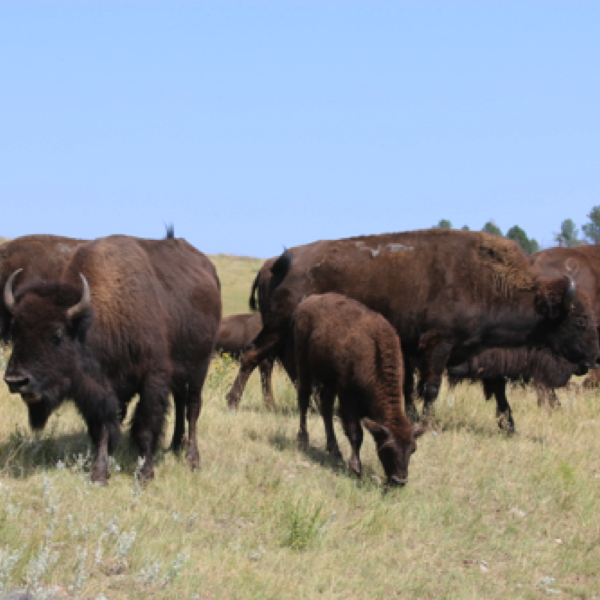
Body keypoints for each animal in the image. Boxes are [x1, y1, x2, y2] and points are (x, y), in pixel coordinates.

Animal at [2, 233, 223, 482]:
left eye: (57, 334)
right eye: (15, 330)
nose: (16, 380)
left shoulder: (153, 379)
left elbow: (145, 428)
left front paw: (145, 474)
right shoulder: (97, 390)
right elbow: (102, 429)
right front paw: (99, 474)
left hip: (199, 367)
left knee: (192, 408)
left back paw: (192, 459)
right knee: (180, 403)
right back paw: (175, 447)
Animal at [226, 229, 600, 426]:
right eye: (580, 320)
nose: (593, 358)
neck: (486, 280)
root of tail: (281, 260)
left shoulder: (411, 346)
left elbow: (410, 386)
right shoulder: (438, 344)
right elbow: (430, 387)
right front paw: (428, 423)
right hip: (277, 328)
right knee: (253, 356)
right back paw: (232, 403)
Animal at [292, 292, 424, 486]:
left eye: (413, 449)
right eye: (388, 447)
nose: (399, 481)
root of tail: (307, 300)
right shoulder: (348, 399)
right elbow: (356, 433)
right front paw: (355, 468)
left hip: (329, 382)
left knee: (326, 409)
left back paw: (335, 450)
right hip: (304, 366)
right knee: (303, 400)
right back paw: (303, 440)